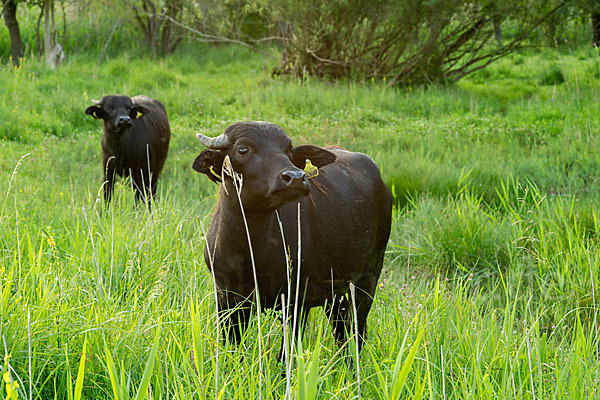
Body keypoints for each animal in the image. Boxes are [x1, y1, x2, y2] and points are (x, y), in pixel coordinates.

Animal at [190, 120, 392, 352]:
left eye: (288, 151)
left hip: (368, 279)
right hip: (337, 293)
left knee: (356, 332)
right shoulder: (226, 299)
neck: (250, 252)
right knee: (341, 331)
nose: (295, 178)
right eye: (243, 149)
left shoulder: (297, 303)